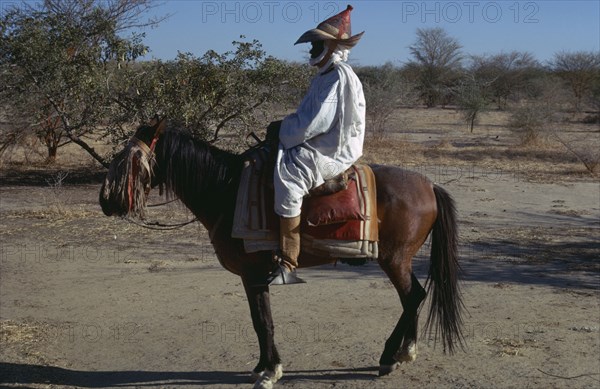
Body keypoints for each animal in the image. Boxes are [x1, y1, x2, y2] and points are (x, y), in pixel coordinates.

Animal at [99, 119, 464, 388]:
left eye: (128, 160)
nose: (105, 201)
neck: (227, 191)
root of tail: (430, 185)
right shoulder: (253, 278)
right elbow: (260, 321)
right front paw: (263, 366)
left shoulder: (253, 275)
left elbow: (264, 322)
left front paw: (269, 371)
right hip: (399, 260)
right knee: (414, 297)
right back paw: (405, 353)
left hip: (394, 259)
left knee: (412, 296)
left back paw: (389, 358)